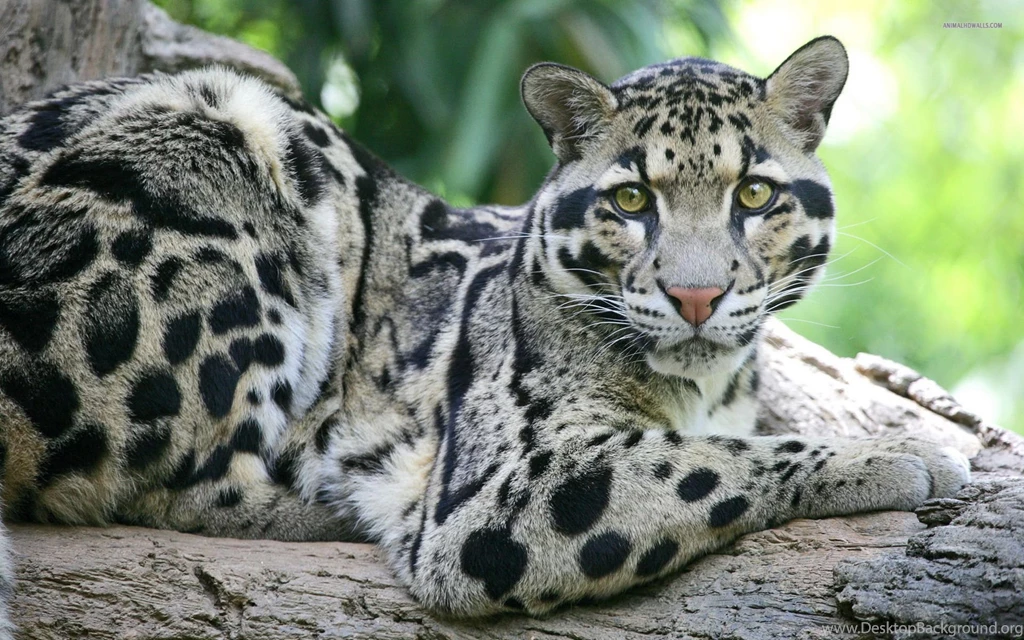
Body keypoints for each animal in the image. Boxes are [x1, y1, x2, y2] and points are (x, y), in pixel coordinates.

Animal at [0, 35, 970, 631]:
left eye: (756, 193)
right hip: (221, 133)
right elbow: (705, 462)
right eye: (631, 199)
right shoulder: (498, 491)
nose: (695, 296)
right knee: (156, 484)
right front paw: (901, 453)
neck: (703, 380)